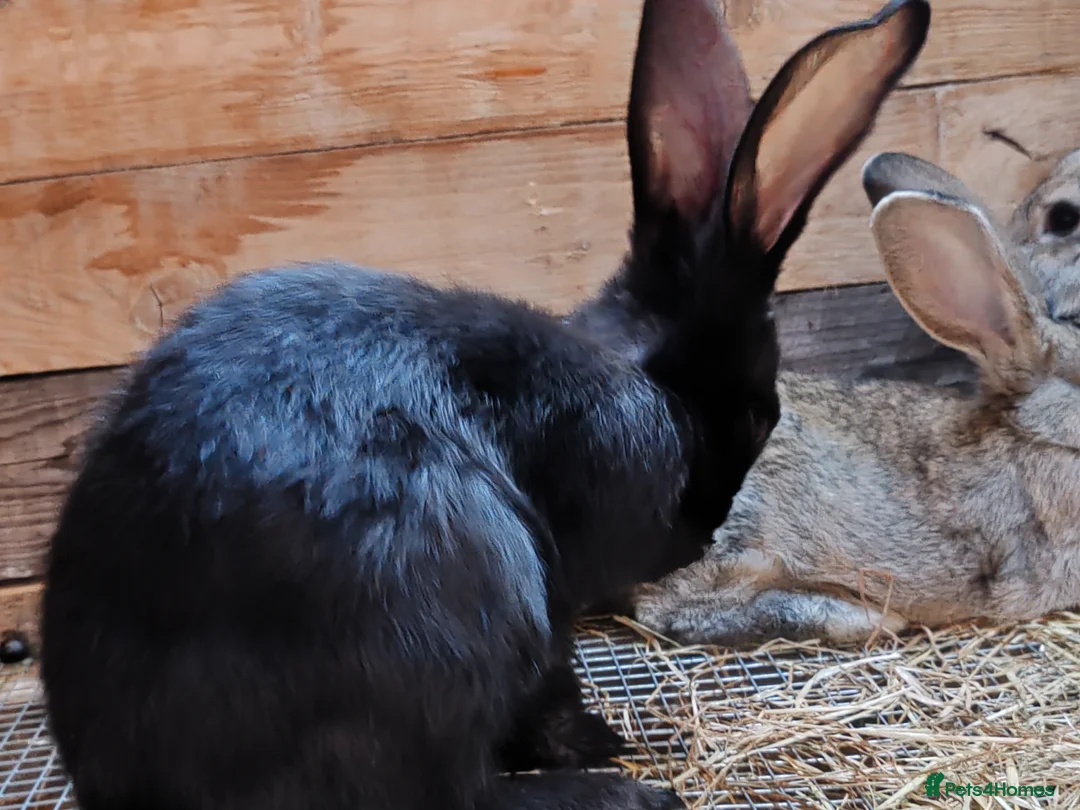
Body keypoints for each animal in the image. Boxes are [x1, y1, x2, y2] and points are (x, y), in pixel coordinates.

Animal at [37, 1, 930, 809]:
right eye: (760, 412)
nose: (702, 535)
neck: (644, 380)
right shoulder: (559, 587)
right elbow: (552, 687)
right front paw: (600, 742)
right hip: (467, 595)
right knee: (447, 792)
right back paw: (617, 793)